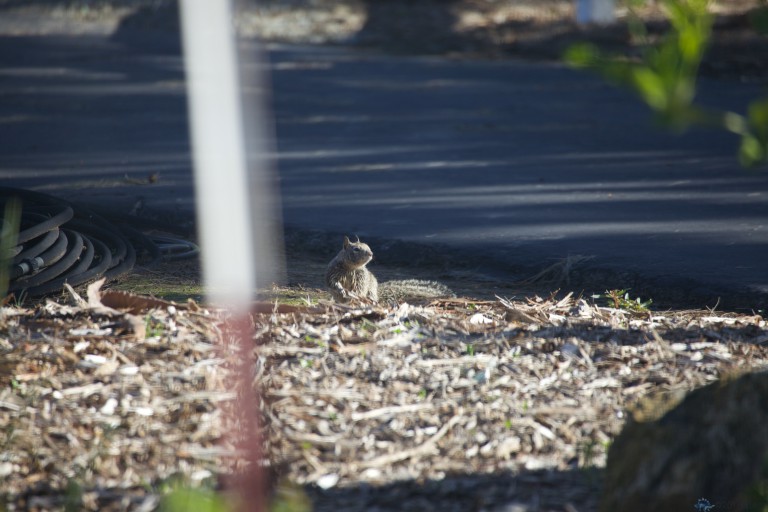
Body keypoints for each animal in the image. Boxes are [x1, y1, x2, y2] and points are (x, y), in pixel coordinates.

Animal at [325, 236, 454, 304]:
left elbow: (360, 287)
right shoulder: (333, 272)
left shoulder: (362, 277)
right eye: (356, 249)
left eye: (368, 246)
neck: (351, 268)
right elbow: (333, 282)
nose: (371, 253)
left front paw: (354, 293)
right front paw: (341, 289)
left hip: (372, 289)